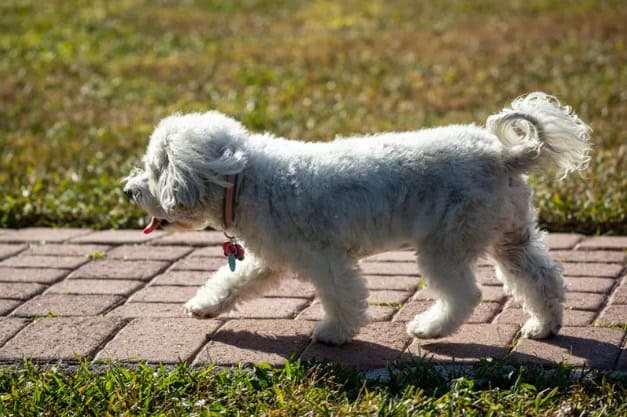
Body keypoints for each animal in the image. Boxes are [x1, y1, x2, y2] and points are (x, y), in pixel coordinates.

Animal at [125, 93, 592, 344]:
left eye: (155, 169)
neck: (248, 179)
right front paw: (205, 306)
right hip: (510, 238)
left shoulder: (326, 259)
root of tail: (504, 155)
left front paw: (334, 333)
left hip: (446, 243)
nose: (128, 190)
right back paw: (545, 325)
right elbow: (231, 282)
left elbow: (341, 297)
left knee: (465, 294)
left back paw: (431, 329)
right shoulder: (268, 259)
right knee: (541, 279)